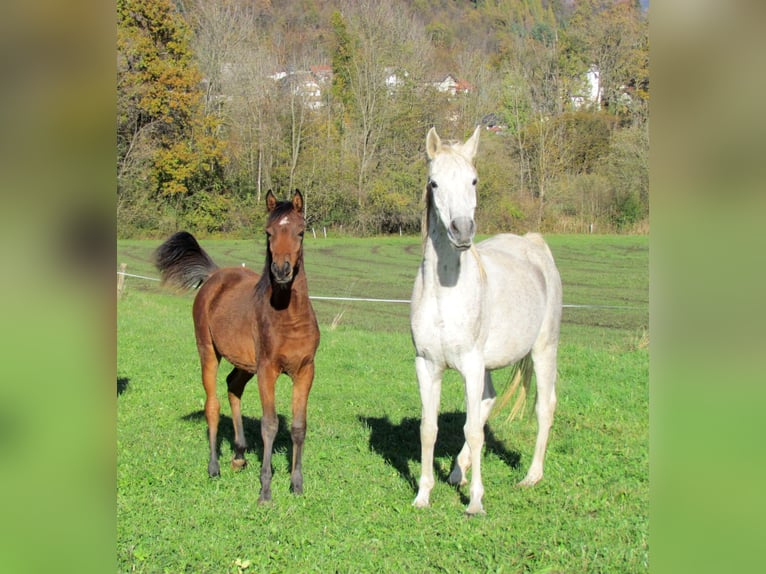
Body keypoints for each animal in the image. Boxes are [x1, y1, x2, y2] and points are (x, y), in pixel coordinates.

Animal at [153, 190, 320, 504]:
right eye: (268, 232)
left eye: (301, 232)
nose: (281, 271)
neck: (289, 318)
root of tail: (214, 276)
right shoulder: (267, 370)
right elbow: (269, 425)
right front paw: (265, 491)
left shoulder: (305, 371)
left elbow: (298, 426)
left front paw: (297, 485)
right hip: (208, 352)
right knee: (212, 404)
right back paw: (214, 466)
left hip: (245, 363)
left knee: (233, 385)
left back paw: (239, 454)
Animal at [414, 126, 564, 516]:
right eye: (434, 182)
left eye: (474, 180)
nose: (462, 230)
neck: (445, 294)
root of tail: (533, 244)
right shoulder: (427, 364)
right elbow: (429, 428)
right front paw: (423, 494)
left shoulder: (470, 365)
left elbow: (473, 431)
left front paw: (476, 502)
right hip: (488, 364)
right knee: (487, 402)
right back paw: (457, 471)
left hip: (544, 349)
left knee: (544, 406)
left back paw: (531, 476)